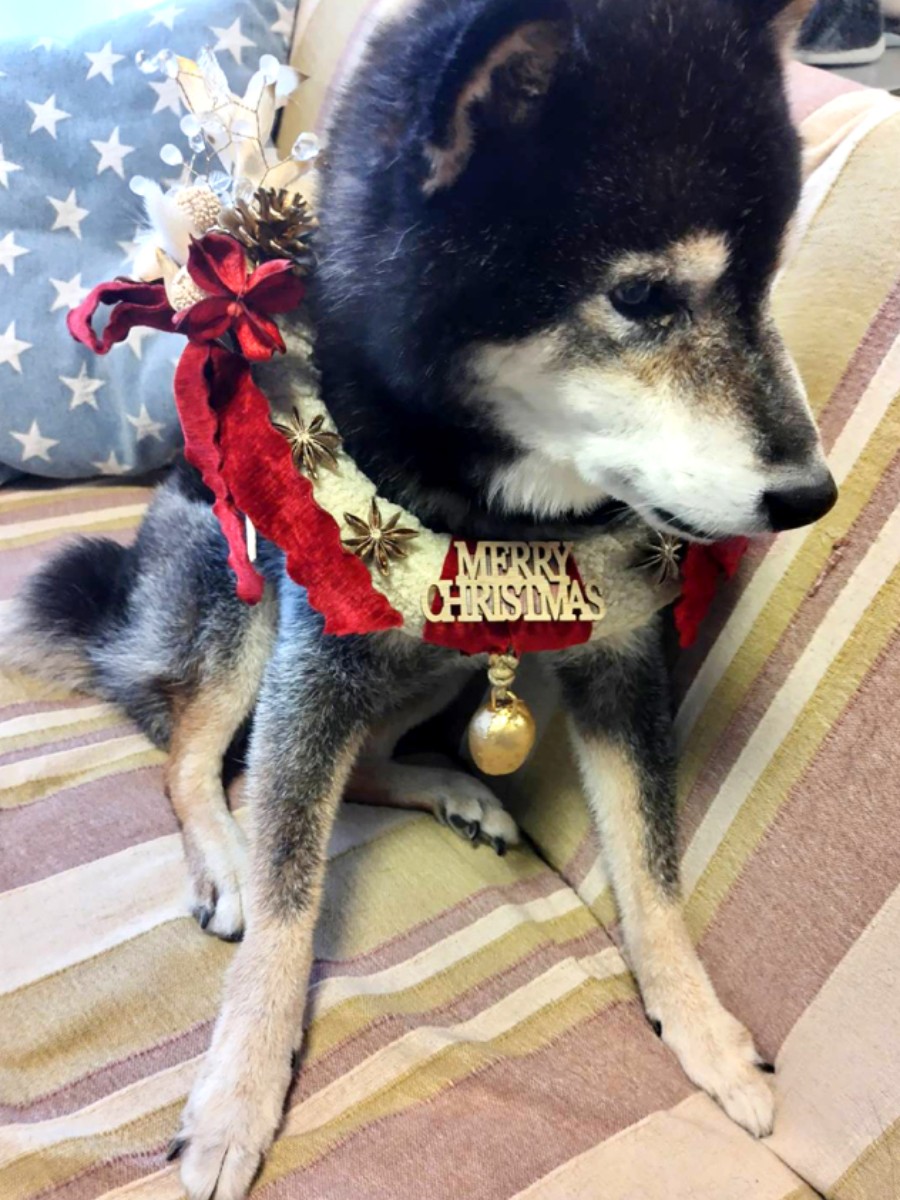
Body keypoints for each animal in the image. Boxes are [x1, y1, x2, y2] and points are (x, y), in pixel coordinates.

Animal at [7, 1, 836, 1196]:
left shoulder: (621, 663)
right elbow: (290, 901)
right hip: (244, 606)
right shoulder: (318, 660)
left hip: (429, 670)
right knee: (200, 759)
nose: (814, 495)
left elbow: (652, 869)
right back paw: (225, 861)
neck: (507, 520)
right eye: (641, 296)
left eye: (765, 283)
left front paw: (704, 1029)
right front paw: (238, 1092)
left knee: (334, 766)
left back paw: (454, 790)